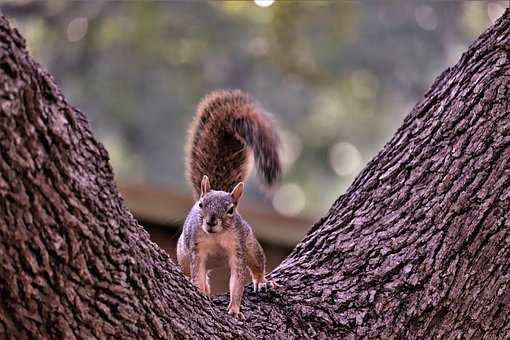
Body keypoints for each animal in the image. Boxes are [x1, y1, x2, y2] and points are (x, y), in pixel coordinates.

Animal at [177, 89, 280, 320]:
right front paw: (202, 293)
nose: (211, 222)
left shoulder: (237, 250)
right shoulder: (196, 250)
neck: (216, 237)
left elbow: (237, 281)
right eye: (201, 205)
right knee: (196, 274)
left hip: (251, 244)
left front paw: (234, 308)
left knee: (257, 263)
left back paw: (262, 281)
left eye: (231, 210)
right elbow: (198, 274)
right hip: (182, 254)